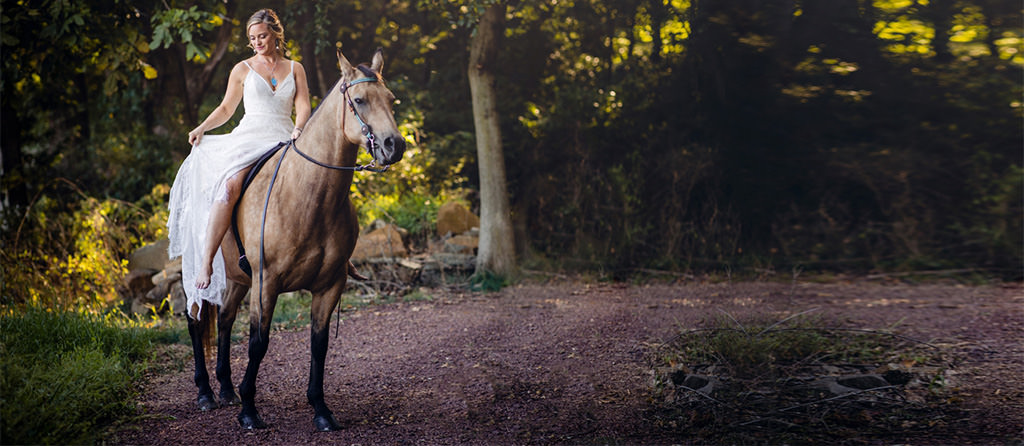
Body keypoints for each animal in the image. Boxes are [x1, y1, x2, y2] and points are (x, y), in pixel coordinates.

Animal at [186, 49, 405, 431]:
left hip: (237, 279)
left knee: (224, 319)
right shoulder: (267, 282)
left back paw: (225, 389)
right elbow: (258, 343)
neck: (308, 196)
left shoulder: (330, 284)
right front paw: (250, 411)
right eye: (360, 100)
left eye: (390, 100)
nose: (395, 146)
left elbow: (319, 345)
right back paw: (205, 393)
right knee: (196, 320)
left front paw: (321, 410)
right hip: (201, 275)